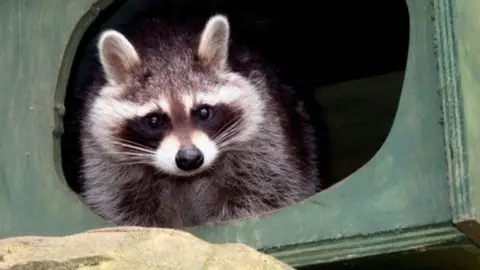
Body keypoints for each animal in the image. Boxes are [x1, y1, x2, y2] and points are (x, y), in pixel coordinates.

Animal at [76, 12, 322, 228]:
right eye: (154, 121)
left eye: (203, 112)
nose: (189, 159)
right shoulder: (104, 161)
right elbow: (117, 201)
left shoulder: (264, 136)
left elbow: (267, 190)